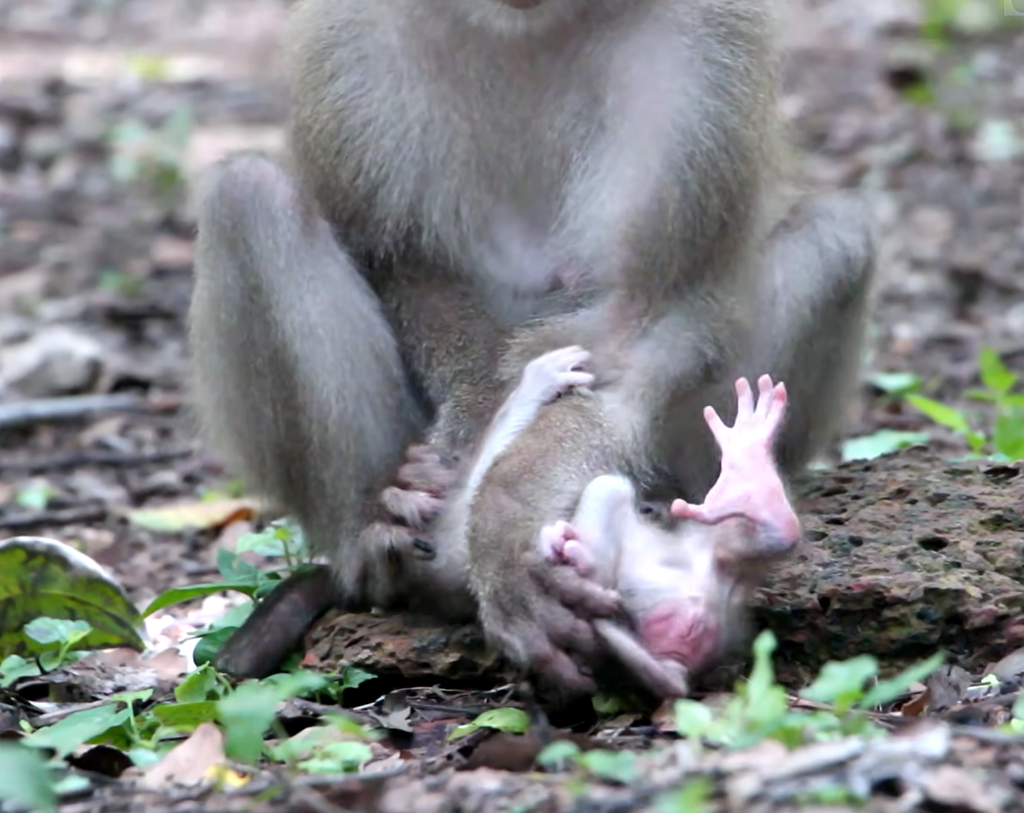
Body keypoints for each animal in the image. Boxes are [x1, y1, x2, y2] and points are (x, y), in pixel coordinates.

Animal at [187, 0, 877, 683]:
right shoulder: (348, 35)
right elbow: (406, 262)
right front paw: (472, 432)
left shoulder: (711, 43)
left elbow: (642, 318)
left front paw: (504, 518)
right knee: (248, 199)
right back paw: (376, 541)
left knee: (837, 236)